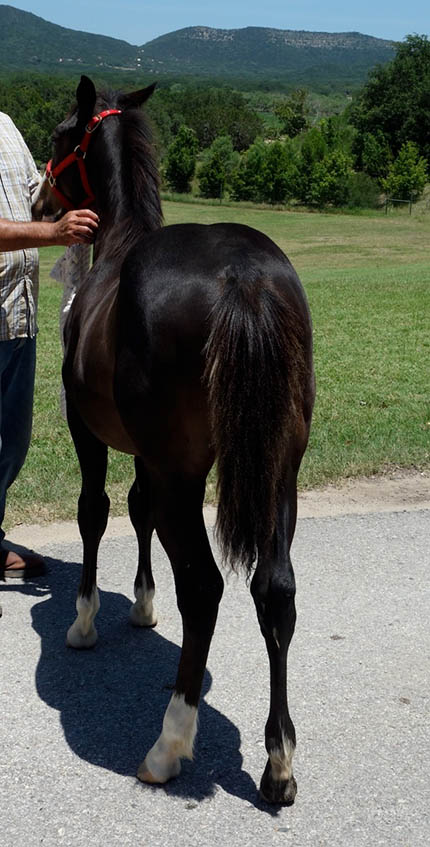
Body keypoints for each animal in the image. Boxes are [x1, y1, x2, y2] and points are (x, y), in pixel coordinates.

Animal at [40, 76, 316, 804]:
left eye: (58, 135)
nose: (41, 199)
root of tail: (244, 279)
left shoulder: (90, 431)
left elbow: (95, 512)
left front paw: (84, 621)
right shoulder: (148, 458)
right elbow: (134, 512)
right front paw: (140, 604)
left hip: (185, 475)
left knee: (206, 587)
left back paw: (168, 744)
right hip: (279, 470)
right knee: (275, 588)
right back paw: (279, 760)